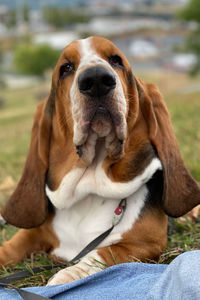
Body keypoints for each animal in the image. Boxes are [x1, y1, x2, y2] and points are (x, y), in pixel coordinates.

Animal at [0, 36, 200, 284]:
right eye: (66, 68)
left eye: (116, 60)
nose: (96, 79)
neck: (88, 190)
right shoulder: (33, 232)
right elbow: (9, 249)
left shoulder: (143, 244)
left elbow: (100, 253)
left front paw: (66, 276)